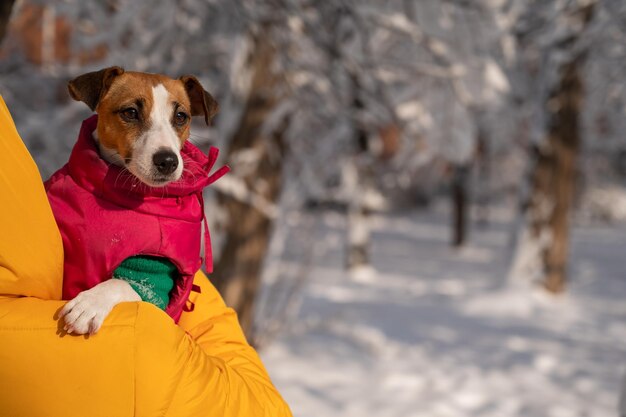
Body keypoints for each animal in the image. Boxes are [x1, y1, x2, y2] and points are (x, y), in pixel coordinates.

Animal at [48, 67, 227, 334]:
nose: (168, 161)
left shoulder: (154, 278)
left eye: (181, 116)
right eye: (130, 112)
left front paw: (90, 303)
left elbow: (122, 283)